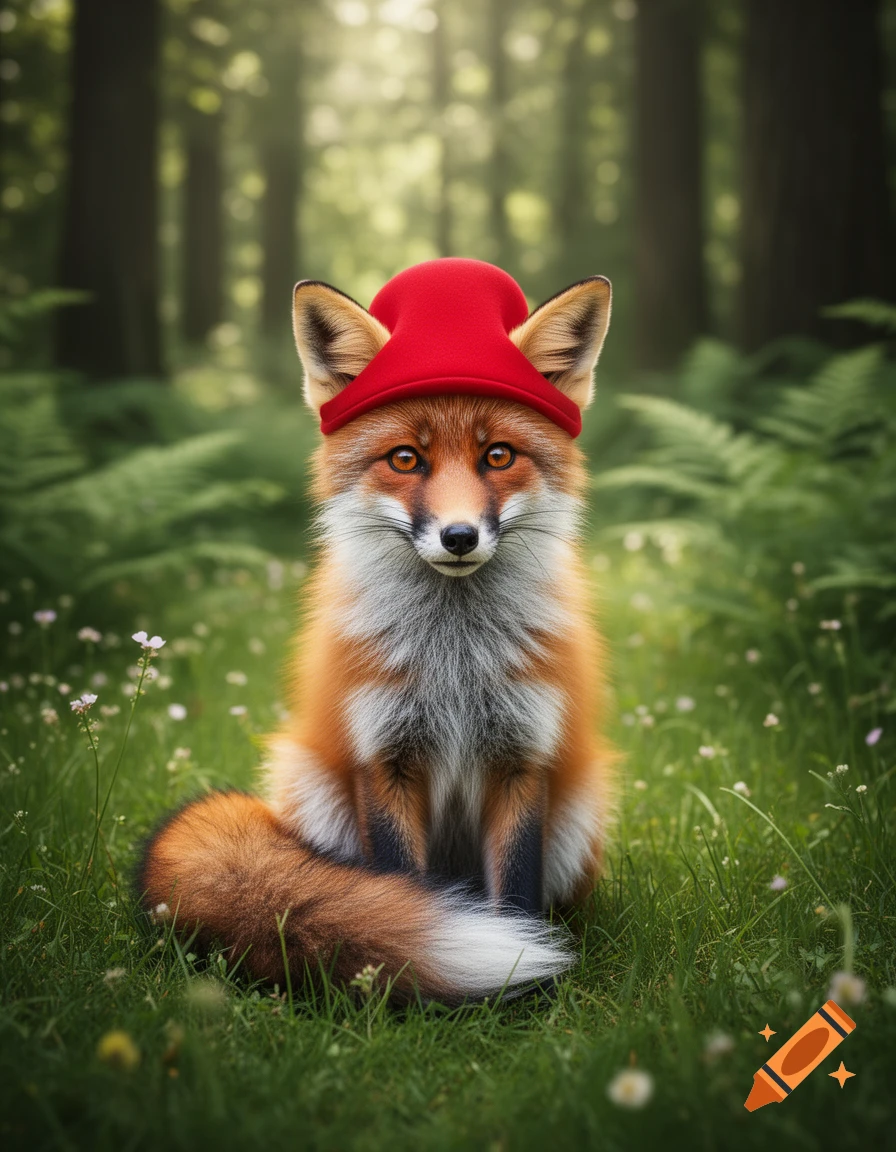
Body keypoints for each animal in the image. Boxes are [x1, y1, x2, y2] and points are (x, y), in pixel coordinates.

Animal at [138, 258, 617, 1005]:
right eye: (405, 460)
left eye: (498, 456)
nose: (458, 536)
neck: (455, 661)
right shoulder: (384, 757)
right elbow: (401, 893)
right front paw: (409, 971)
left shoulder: (522, 756)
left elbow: (516, 896)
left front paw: (527, 991)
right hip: (314, 786)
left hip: (580, 807)